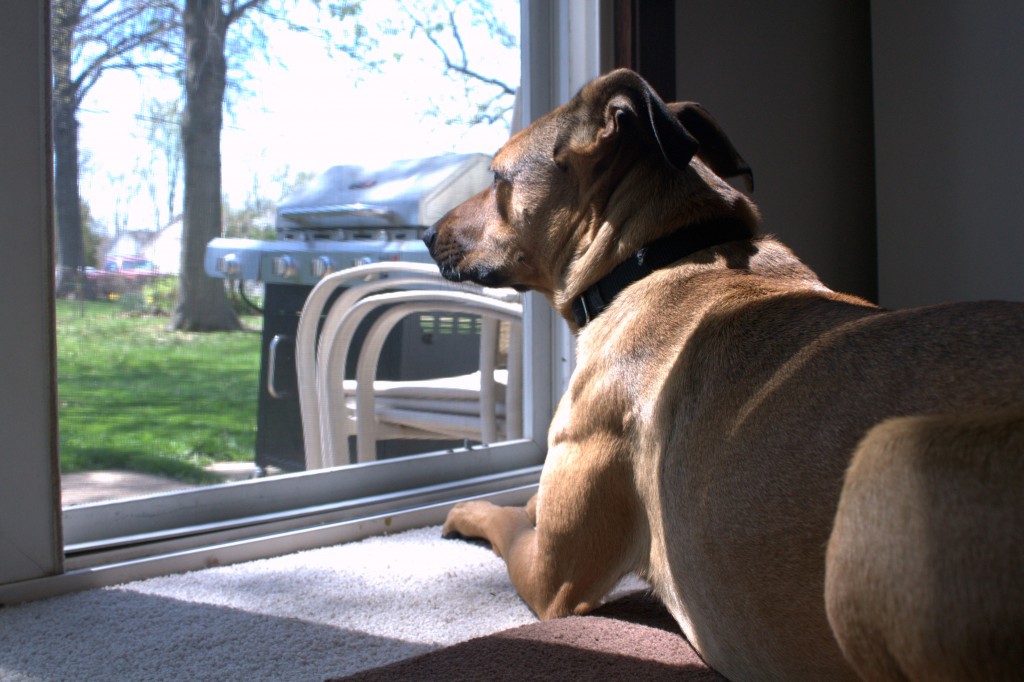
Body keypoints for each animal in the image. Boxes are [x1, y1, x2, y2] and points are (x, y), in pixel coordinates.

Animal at [419, 70, 1019, 679]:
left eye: (497, 179)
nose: (424, 232)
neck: (654, 256)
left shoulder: (550, 574)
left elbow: (502, 519)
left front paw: (469, 510)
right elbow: (527, 506)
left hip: (888, 456)